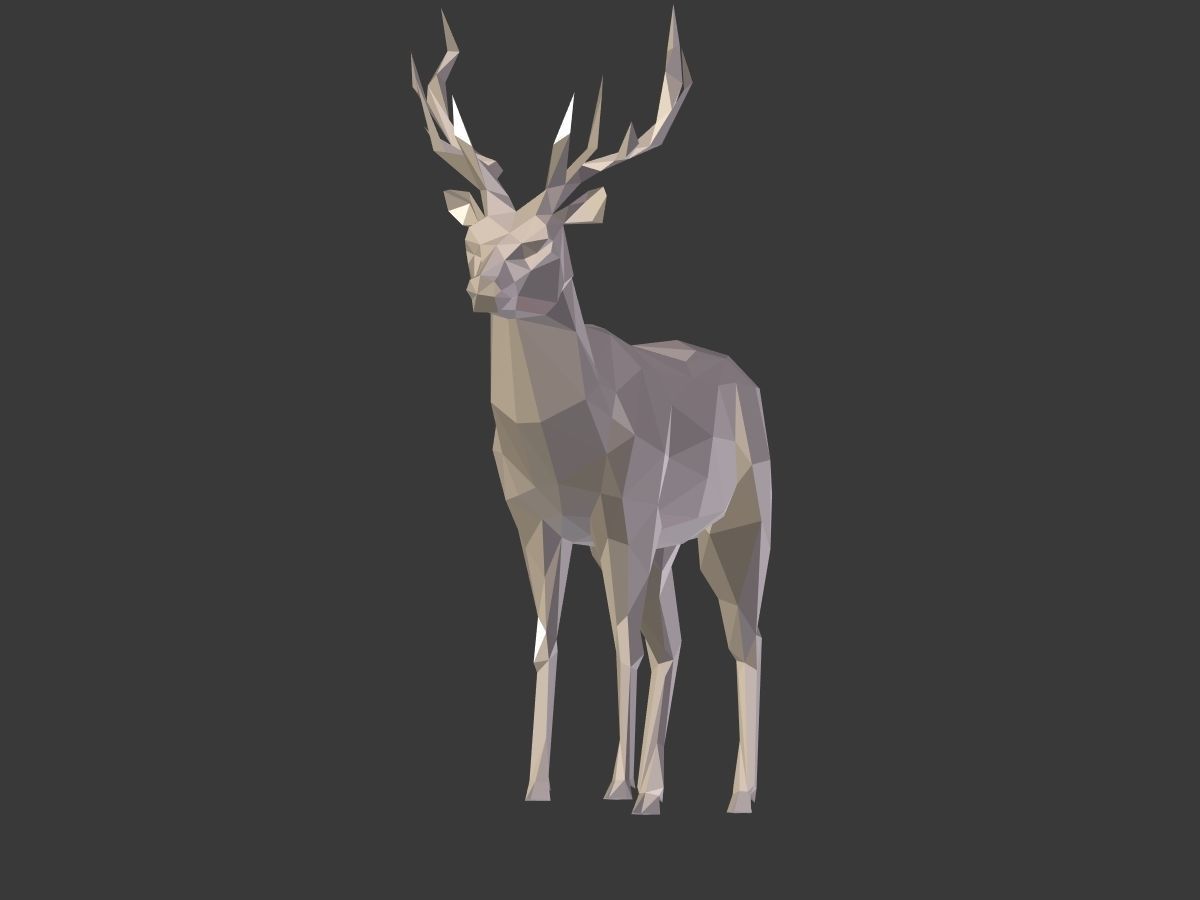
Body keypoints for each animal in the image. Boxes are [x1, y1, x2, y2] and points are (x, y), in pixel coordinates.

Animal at [410, 10, 771, 814]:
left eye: (538, 246)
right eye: (473, 238)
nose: (481, 287)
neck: (564, 441)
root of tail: (749, 383)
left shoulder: (624, 520)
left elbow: (619, 640)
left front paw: (611, 785)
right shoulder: (535, 518)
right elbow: (548, 638)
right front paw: (538, 785)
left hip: (741, 521)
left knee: (745, 635)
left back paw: (734, 795)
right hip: (668, 544)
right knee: (674, 640)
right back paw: (659, 789)